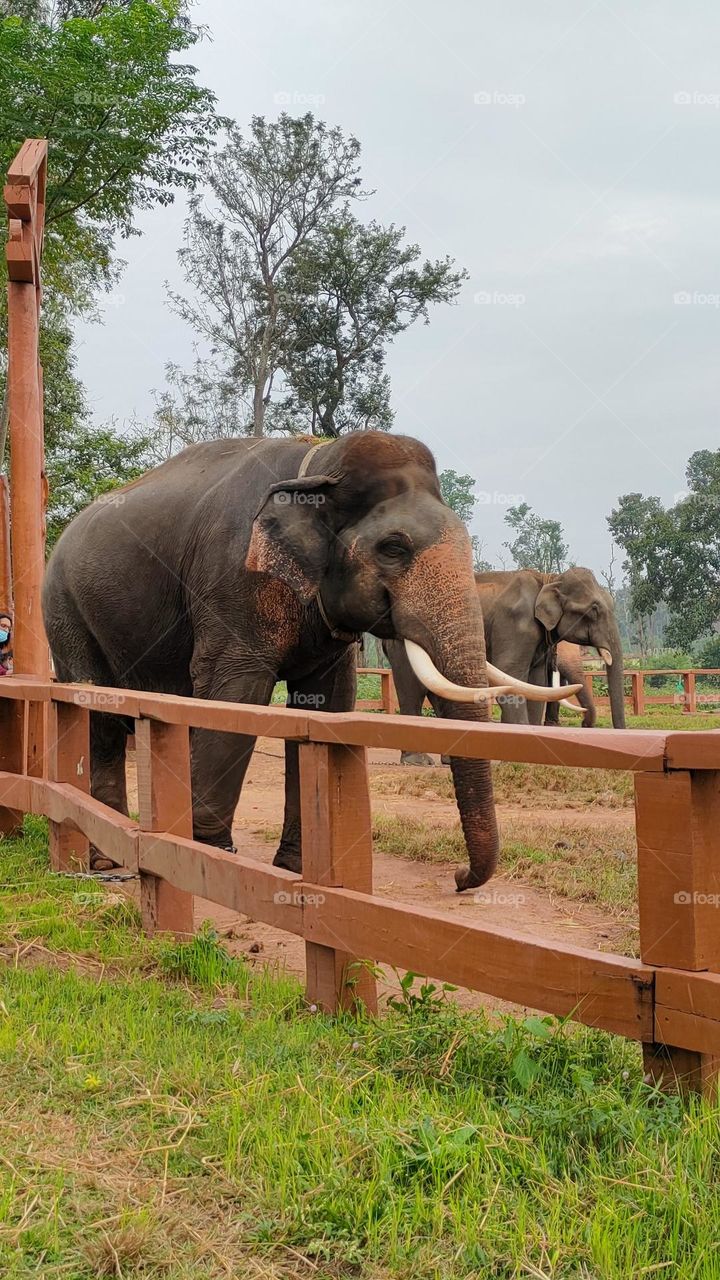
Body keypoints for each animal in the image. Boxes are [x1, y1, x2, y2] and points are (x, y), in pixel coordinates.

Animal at [42, 432, 572, 893]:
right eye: (393, 548)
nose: (459, 879)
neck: (319, 465)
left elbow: (326, 707)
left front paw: (297, 869)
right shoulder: (234, 579)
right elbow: (235, 694)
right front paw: (209, 861)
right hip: (65, 610)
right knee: (100, 717)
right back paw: (103, 858)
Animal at [384, 565, 625, 764]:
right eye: (594, 609)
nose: (584, 725)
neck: (547, 579)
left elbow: (536, 683)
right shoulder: (515, 625)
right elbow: (512, 674)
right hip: (403, 641)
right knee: (411, 686)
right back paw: (417, 760)